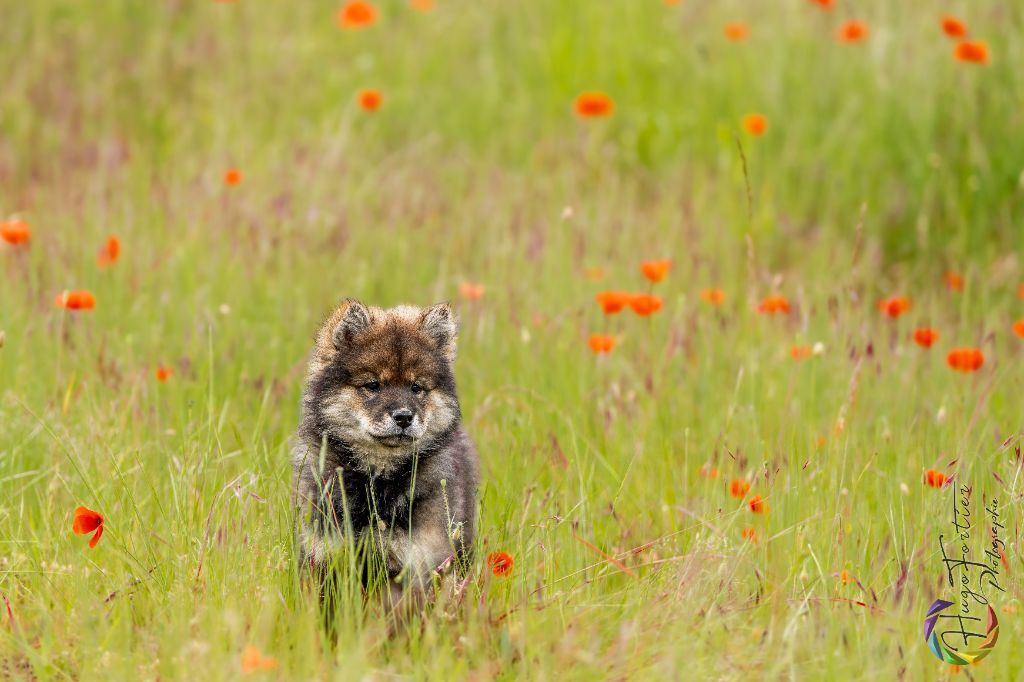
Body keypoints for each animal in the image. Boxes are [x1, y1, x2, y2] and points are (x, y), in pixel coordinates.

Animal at [290, 296, 477, 622]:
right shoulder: (327, 558)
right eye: (373, 385)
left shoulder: (412, 563)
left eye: (416, 388)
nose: (403, 416)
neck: (376, 481)